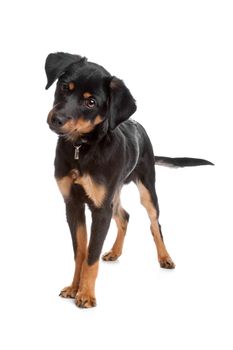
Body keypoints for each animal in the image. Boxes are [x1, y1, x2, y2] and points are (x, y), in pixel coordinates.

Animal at [44, 51, 213, 306]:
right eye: (64, 87)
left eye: (91, 102)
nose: (57, 119)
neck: (81, 149)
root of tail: (136, 124)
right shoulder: (73, 205)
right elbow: (80, 252)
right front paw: (74, 287)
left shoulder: (100, 209)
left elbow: (91, 255)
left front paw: (86, 294)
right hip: (113, 195)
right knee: (124, 216)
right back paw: (115, 252)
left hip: (146, 189)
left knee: (155, 224)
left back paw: (165, 257)